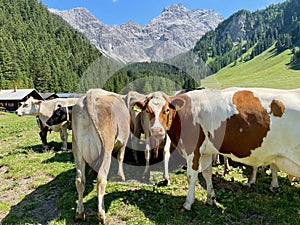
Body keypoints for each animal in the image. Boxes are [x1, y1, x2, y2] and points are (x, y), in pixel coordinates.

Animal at [72, 88, 130, 223]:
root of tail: (90, 95)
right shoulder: (123, 143)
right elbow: (120, 157)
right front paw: (121, 175)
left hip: (77, 149)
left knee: (79, 180)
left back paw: (79, 213)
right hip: (106, 148)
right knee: (101, 179)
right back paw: (102, 214)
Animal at [132, 88, 300, 211]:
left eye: (167, 109)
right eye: (147, 110)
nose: (157, 131)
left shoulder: (193, 149)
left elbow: (191, 176)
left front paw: (188, 203)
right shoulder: (206, 151)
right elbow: (207, 174)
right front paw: (210, 198)